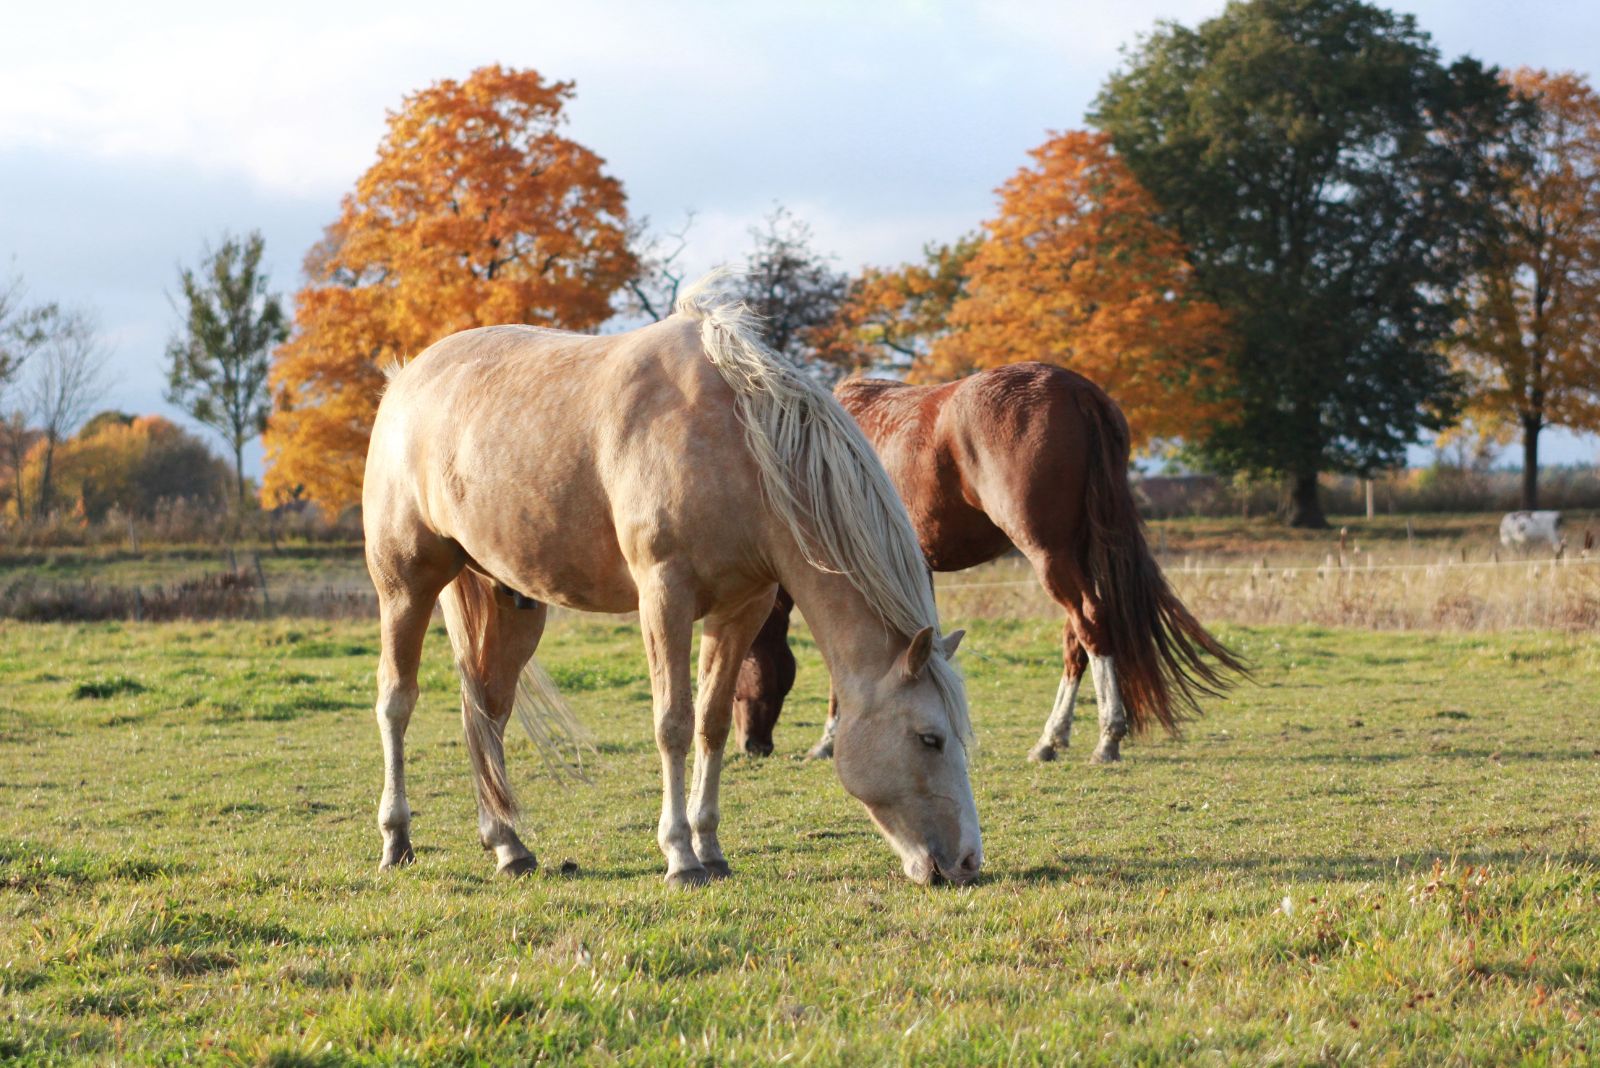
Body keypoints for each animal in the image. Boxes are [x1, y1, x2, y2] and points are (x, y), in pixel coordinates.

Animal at [364, 273, 979, 882]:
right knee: (397, 700)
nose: (968, 861)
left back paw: (508, 846)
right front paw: (680, 856)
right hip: (406, 587)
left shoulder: (742, 608)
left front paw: (710, 848)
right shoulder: (665, 598)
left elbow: (711, 722)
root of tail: (404, 381)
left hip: (510, 601)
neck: (739, 443)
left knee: (486, 711)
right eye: (929, 738)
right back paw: (397, 840)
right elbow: (673, 724)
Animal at [732, 362, 1241, 764]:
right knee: (1076, 636)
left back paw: (1106, 737)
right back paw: (1052, 739)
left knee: (1091, 624)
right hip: (1074, 553)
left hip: (1048, 553)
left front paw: (828, 739)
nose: (752, 746)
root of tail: (1077, 389)